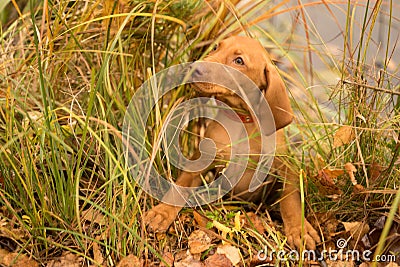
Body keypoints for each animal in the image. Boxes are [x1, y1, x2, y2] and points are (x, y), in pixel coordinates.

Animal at [145, 36, 320, 251]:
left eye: (239, 61)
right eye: (215, 47)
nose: (194, 68)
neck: (242, 120)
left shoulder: (287, 166)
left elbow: (290, 198)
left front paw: (299, 230)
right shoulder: (200, 161)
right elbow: (180, 186)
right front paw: (162, 212)